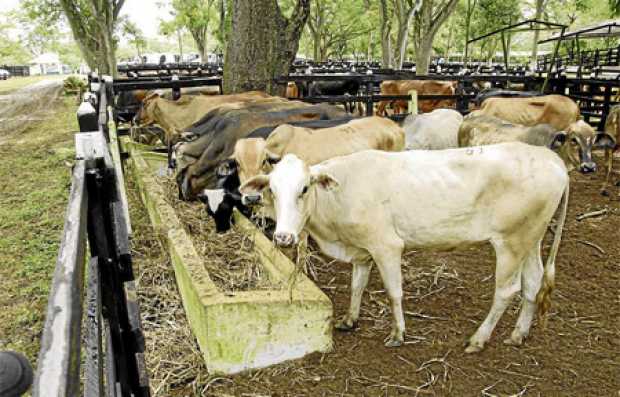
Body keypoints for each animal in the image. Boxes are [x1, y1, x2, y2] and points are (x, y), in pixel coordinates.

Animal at [240, 142, 568, 350]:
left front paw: (398, 333)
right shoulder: (362, 252)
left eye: (304, 188)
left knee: (506, 291)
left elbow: (394, 292)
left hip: (510, 242)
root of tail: (551, 158)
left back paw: (479, 339)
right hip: (531, 238)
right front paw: (349, 319)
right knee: (533, 283)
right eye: (272, 190)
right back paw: (519, 333)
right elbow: (357, 286)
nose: (283, 237)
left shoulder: (386, 246)